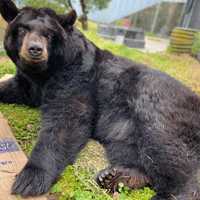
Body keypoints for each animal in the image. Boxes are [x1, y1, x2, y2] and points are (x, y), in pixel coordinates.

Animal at [0, 0, 200, 199]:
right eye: (22, 29)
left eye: (49, 34)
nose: (35, 49)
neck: (44, 73)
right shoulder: (29, 83)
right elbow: (17, 89)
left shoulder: (77, 76)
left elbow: (67, 119)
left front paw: (30, 178)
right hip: (123, 130)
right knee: (131, 150)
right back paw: (118, 176)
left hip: (159, 101)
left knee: (167, 145)